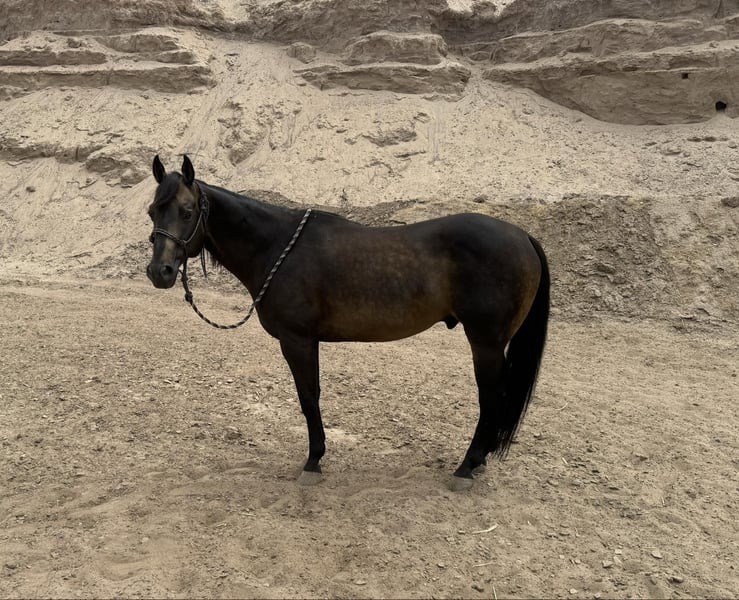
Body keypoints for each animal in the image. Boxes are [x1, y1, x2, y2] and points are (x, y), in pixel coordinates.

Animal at [146, 155, 549, 491]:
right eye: (152, 212)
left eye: (187, 211)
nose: (159, 272)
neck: (277, 246)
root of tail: (522, 237)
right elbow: (311, 396)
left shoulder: (297, 340)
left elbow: (309, 397)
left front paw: (313, 462)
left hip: (486, 343)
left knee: (491, 398)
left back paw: (467, 467)